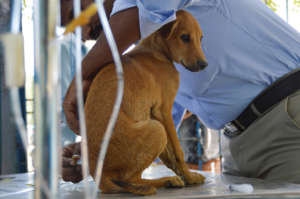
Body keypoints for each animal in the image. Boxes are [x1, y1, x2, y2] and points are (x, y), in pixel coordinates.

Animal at [84, 10, 206, 195]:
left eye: (201, 38)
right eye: (185, 37)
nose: (204, 65)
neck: (157, 52)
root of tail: (101, 177)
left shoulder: (154, 112)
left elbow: (169, 155)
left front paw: (186, 174)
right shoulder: (164, 110)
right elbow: (178, 151)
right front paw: (189, 176)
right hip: (157, 129)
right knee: (130, 179)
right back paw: (164, 181)